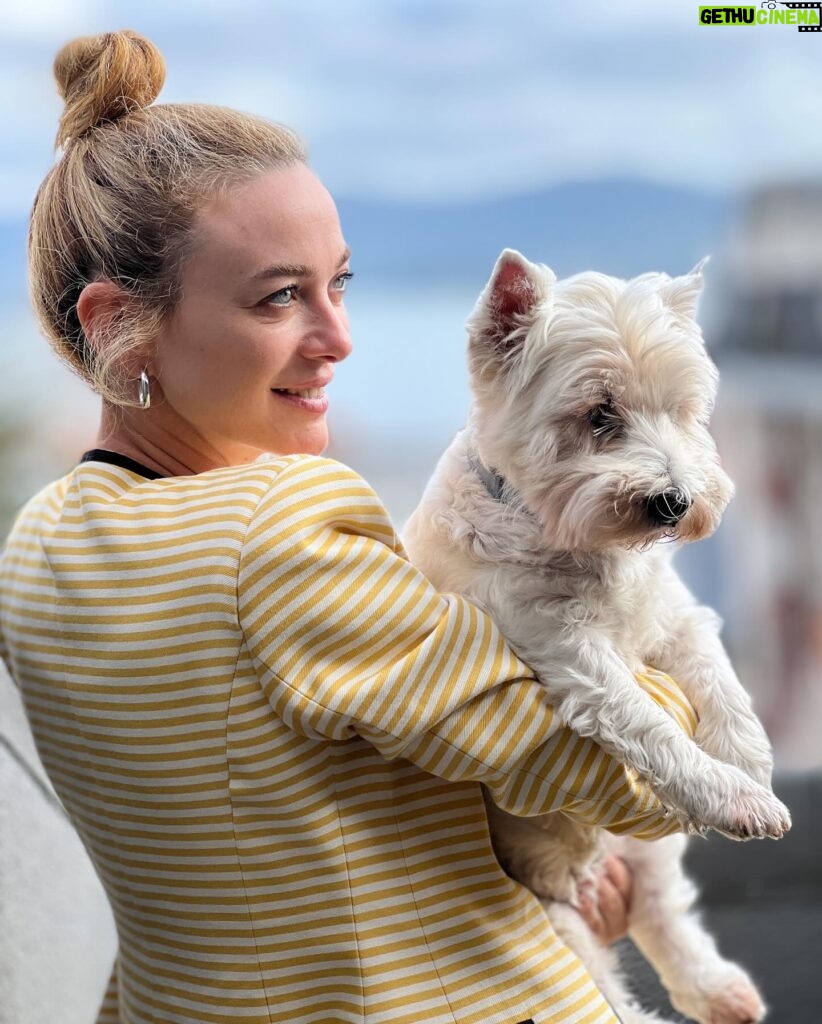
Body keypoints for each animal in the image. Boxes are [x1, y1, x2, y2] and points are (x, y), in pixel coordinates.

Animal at [401, 249, 794, 1024]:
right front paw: (735, 796)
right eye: (599, 414)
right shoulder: (567, 653)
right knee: (600, 981)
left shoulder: (675, 618)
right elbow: (649, 721)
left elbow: (724, 686)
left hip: (641, 856)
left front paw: (751, 773)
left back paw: (722, 991)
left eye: (681, 411)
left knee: (664, 910)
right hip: (547, 914)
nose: (674, 502)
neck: (587, 548)